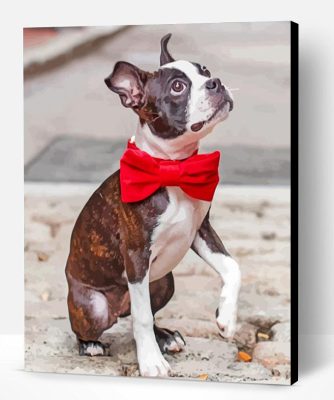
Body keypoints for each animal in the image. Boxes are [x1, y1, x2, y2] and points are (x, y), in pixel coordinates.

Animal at [65, 32, 241, 376]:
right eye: (178, 87)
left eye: (205, 70)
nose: (215, 82)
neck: (172, 168)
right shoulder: (136, 255)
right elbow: (142, 317)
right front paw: (150, 362)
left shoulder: (200, 230)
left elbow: (233, 267)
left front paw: (226, 318)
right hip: (94, 306)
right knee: (104, 322)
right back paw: (92, 345)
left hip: (163, 283)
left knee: (143, 309)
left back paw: (166, 337)